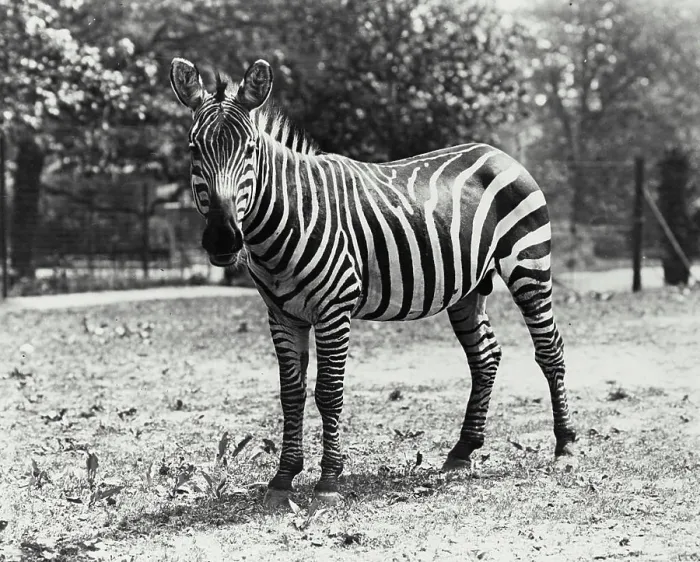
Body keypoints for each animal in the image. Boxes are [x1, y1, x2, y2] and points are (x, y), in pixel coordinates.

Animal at [170, 57, 577, 507]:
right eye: (193, 149)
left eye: (251, 150)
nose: (223, 239)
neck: (285, 221)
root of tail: (498, 153)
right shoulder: (281, 316)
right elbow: (291, 395)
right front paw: (283, 477)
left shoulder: (334, 310)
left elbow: (328, 392)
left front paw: (329, 480)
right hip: (468, 289)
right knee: (485, 356)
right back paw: (462, 450)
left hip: (529, 265)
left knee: (550, 350)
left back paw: (565, 445)